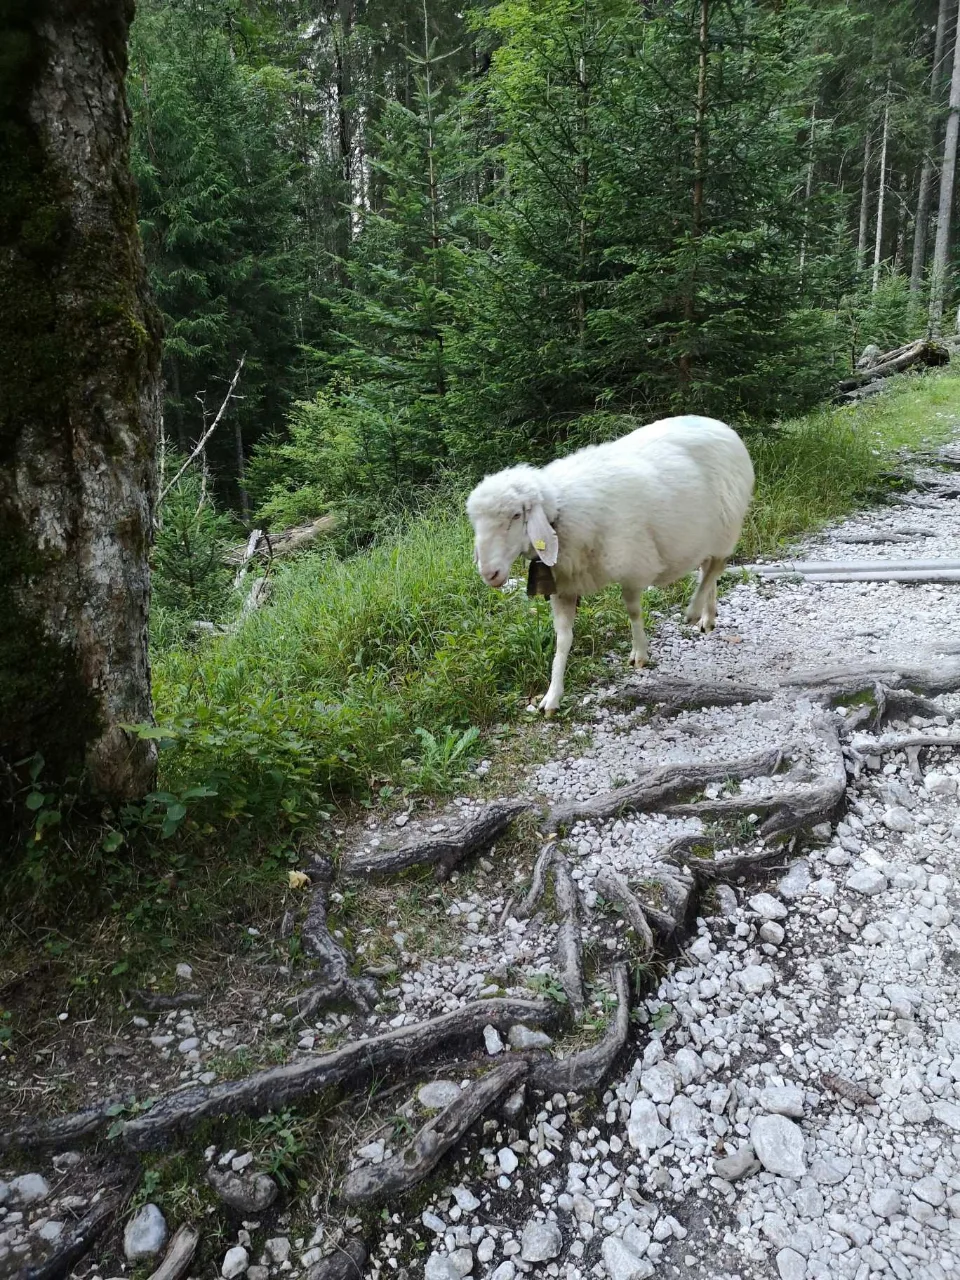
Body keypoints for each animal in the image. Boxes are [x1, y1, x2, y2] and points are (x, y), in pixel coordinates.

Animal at [466, 415, 754, 715]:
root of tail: (720, 425)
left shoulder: (633, 564)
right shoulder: (564, 585)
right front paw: (552, 695)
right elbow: (563, 639)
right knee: (708, 568)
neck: (562, 513)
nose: (489, 574)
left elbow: (634, 612)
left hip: (727, 524)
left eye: (515, 515)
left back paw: (695, 610)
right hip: (705, 534)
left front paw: (639, 653)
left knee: (715, 566)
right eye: (476, 523)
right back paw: (708, 615)